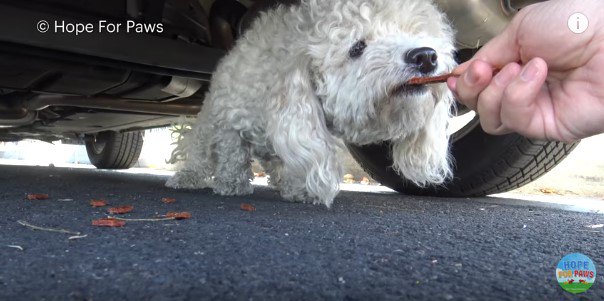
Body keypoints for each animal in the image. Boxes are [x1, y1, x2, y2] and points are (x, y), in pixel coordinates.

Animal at [165, 0, 452, 206]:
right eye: (357, 47)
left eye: (416, 32)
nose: (425, 56)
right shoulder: (231, 116)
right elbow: (232, 153)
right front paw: (231, 184)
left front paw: (299, 189)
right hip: (207, 126)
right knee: (201, 153)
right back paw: (189, 176)